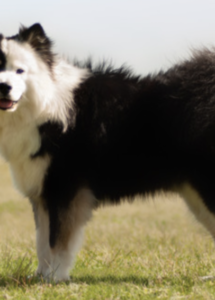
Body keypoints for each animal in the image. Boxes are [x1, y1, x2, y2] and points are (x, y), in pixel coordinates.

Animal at [0, 23, 215, 282]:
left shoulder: (63, 188)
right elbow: (42, 242)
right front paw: (40, 277)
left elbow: (56, 241)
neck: (46, 105)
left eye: (19, 70)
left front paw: (55, 278)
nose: (4, 86)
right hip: (195, 195)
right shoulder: (42, 192)